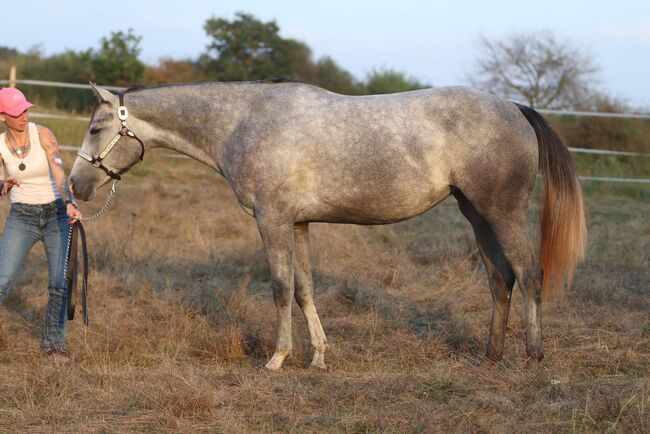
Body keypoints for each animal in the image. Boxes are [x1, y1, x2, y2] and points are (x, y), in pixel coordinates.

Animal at [68, 81, 584, 370]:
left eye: (95, 129)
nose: (76, 184)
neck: (244, 121)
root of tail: (514, 107)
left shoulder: (272, 220)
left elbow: (279, 288)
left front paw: (277, 359)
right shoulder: (298, 224)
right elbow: (304, 289)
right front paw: (317, 357)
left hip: (503, 213)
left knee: (530, 276)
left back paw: (532, 356)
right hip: (477, 214)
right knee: (500, 280)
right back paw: (491, 356)